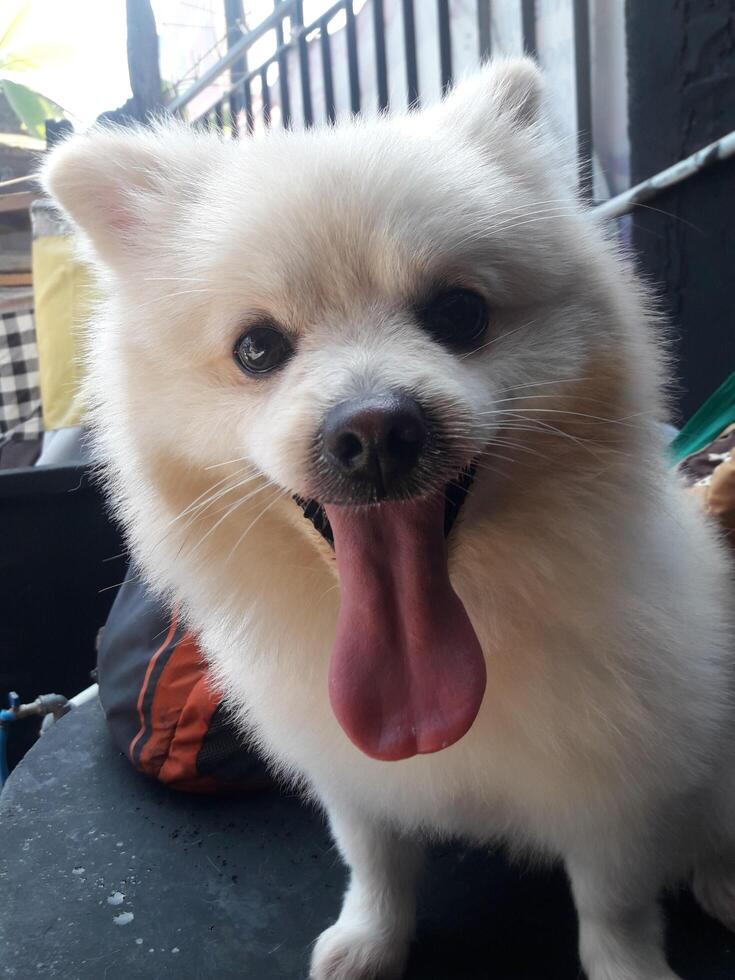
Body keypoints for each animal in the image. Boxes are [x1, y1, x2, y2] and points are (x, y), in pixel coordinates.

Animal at [46, 59, 735, 980]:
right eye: (257, 349)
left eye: (459, 314)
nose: (373, 430)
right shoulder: (353, 770)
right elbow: (374, 860)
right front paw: (370, 941)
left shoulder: (618, 784)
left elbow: (612, 909)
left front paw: (629, 970)